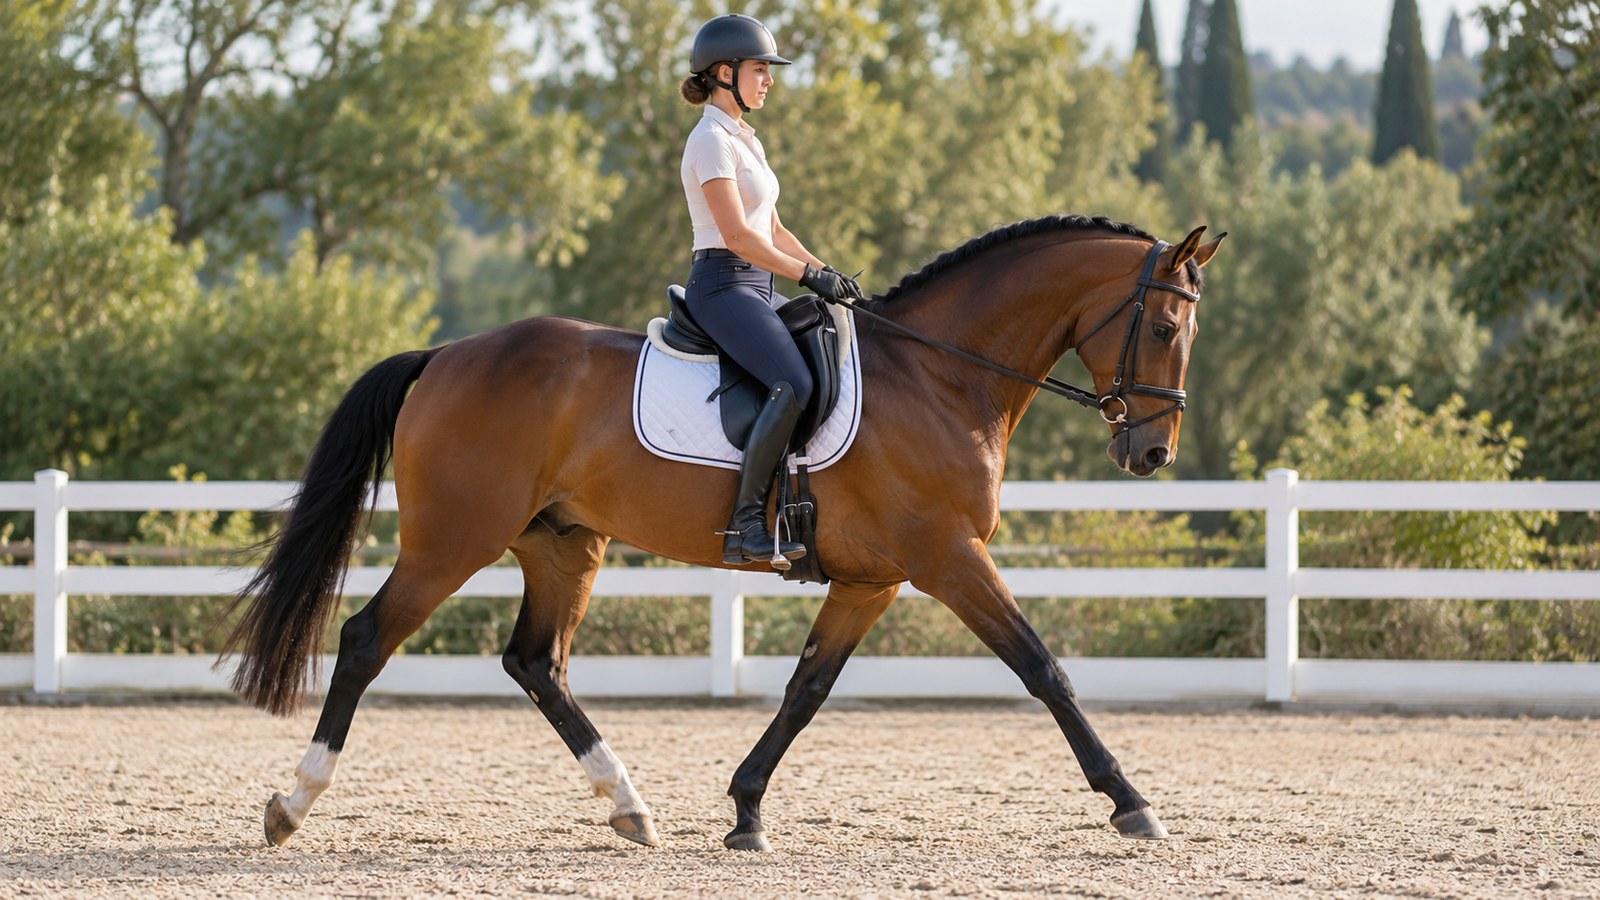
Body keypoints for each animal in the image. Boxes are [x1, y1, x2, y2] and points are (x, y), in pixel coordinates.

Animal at [220, 214, 1224, 851]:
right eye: (1167, 324)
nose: (1153, 452)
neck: (941, 377)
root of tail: (444, 356)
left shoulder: (874, 579)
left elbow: (806, 689)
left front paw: (745, 812)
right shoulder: (947, 557)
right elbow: (1042, 668)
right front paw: (1132, 803)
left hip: (562, 543)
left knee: (537, 662)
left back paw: (629, 808)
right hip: (452, 541)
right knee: (365, 640)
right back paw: (292, 805)